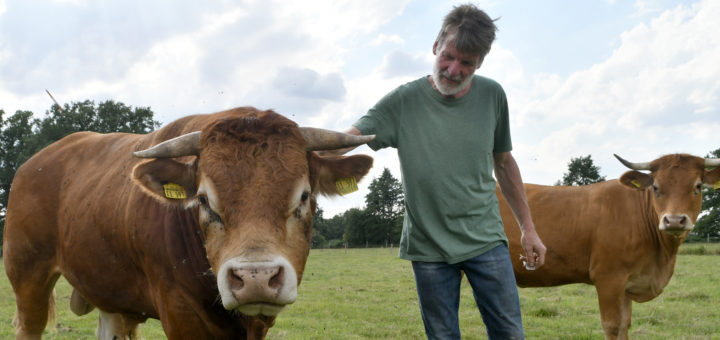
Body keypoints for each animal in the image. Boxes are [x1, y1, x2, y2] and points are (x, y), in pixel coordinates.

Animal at [4, 107, 376, 338]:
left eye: (304, 196)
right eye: (203, 200)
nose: (256, 278)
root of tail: (33, 163)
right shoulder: (180, 314)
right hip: (27, 275)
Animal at [500, 154, 720, 340]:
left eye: (698, 186)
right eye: (656, 187)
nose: (674, 221)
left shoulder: (627, 284)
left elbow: (624, 325)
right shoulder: (609, 279)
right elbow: (613, 326)